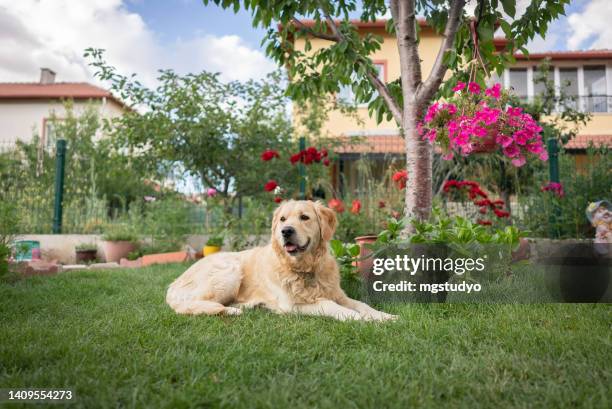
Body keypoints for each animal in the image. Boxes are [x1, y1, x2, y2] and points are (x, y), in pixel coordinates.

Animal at [166, 199, 396, 320]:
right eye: (283, 219)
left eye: (304, 217)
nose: (286, 231)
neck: (306, 269)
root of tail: (172, 285)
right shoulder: (293, 306)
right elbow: (332, 306)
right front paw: (364, 319)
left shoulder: (339, 294)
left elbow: (362, 305)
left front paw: (385, 316)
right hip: (229, 270)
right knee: (196, 305)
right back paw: (231, 310)